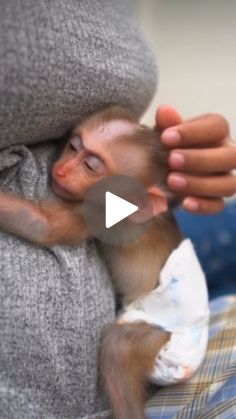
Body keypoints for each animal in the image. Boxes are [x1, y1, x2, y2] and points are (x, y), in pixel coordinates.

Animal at [0, 106, 208, 418]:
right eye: (73, 147)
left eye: (91, 166)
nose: (61, 170)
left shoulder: (99, 212)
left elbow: (42, 225)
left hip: (166, 336)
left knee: (118, 346)